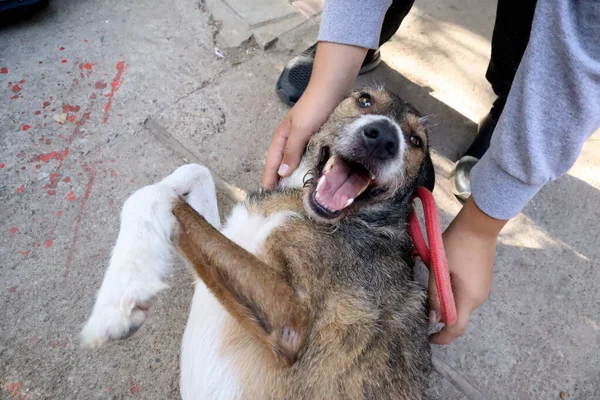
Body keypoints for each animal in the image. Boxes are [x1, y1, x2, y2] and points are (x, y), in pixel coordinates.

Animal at [82, 88, 434, 400]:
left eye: (416, 141)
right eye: (364, 100)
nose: (384, 137)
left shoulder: (290, 325)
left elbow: (158, 197)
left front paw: (118, 301)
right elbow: (191, 173)